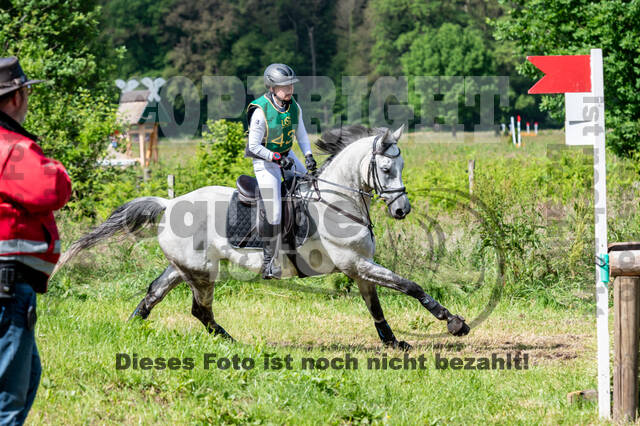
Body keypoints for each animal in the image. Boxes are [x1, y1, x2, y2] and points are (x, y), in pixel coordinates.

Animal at [55, 124, 469, 350]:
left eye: (402, 165)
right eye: (385, 169)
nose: (402, 210)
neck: (338, 201)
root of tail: (169, 203)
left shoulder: (358, 267)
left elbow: (377, 306)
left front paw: (393, 342)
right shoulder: (356, 263)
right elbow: (410, 285)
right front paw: (453, 321)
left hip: (184, 267)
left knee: (155, 293)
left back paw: (132, 329)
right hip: (202, 272)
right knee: (199, 309)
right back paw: (233, 344)